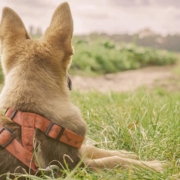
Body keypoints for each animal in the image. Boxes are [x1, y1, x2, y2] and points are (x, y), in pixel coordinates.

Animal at [0, 2, 164, 179]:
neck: (29, 111)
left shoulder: (77, 155)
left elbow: (94, 149)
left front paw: (124, 153)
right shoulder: (73, 168)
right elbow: (113, 162)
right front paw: (152, 166)